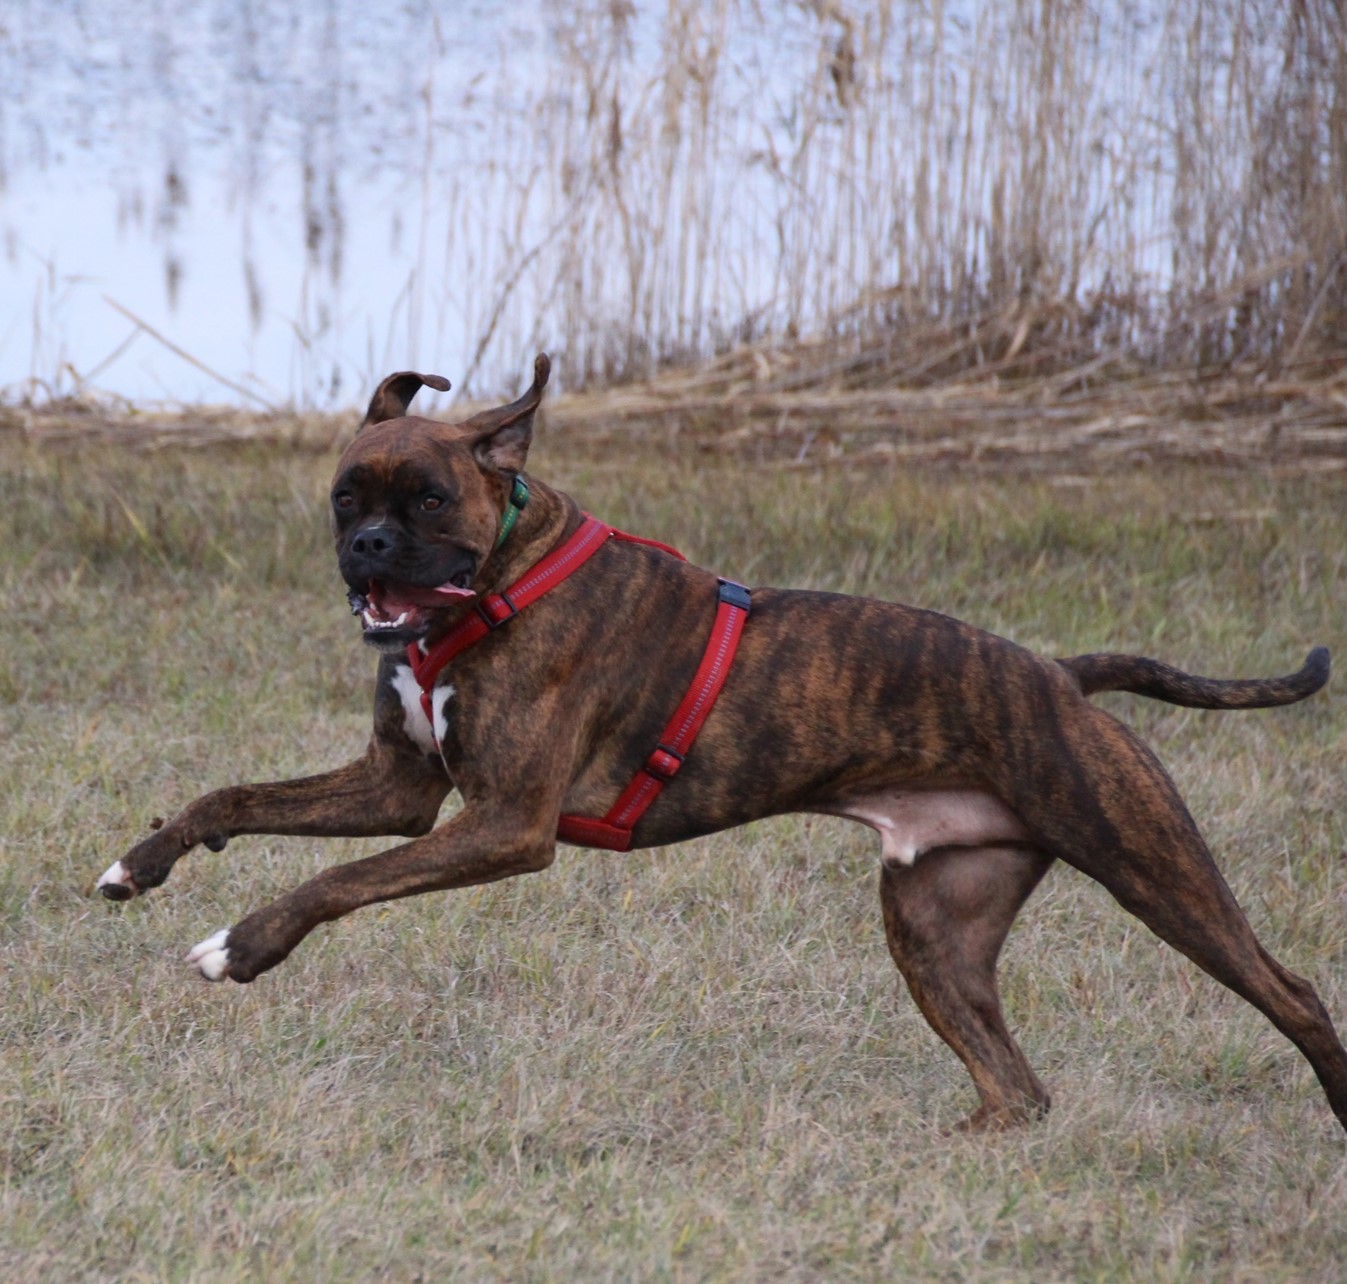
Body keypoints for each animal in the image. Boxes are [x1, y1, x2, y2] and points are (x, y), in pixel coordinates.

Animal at [102, 352, 1347, 1131]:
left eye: (428, 502)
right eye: (345, 495)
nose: (363, 548)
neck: (499, 583)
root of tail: (1058, 675)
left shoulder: (502, 826)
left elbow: (335, 881)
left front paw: (242, 946)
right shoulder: (397, 790)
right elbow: (232, 798)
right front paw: (141, 862)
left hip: (1151, 866)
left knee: (1291, 992)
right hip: (935, 926)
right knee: (1018, 1092)